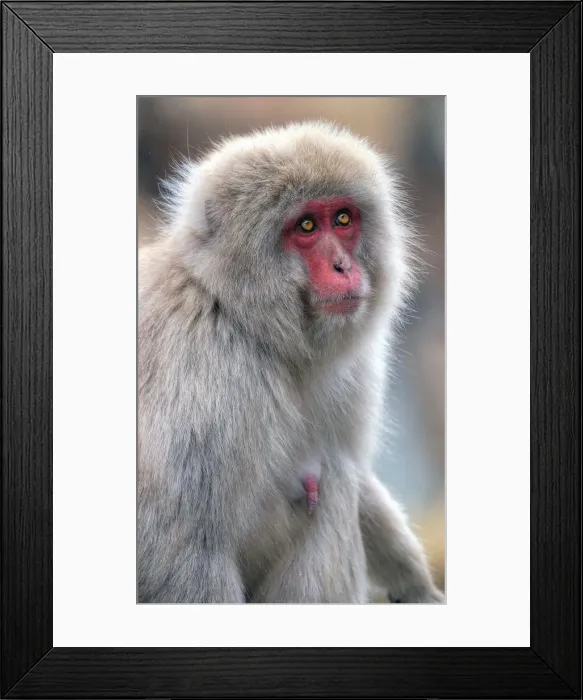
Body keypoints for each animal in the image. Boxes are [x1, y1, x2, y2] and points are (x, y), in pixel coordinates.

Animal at [137, 120, 444, 604]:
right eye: (306, 226)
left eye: (343, 219)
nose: (342, 267)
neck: (238, 314)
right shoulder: (203, 377)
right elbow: (179, 546)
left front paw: (416, 585)